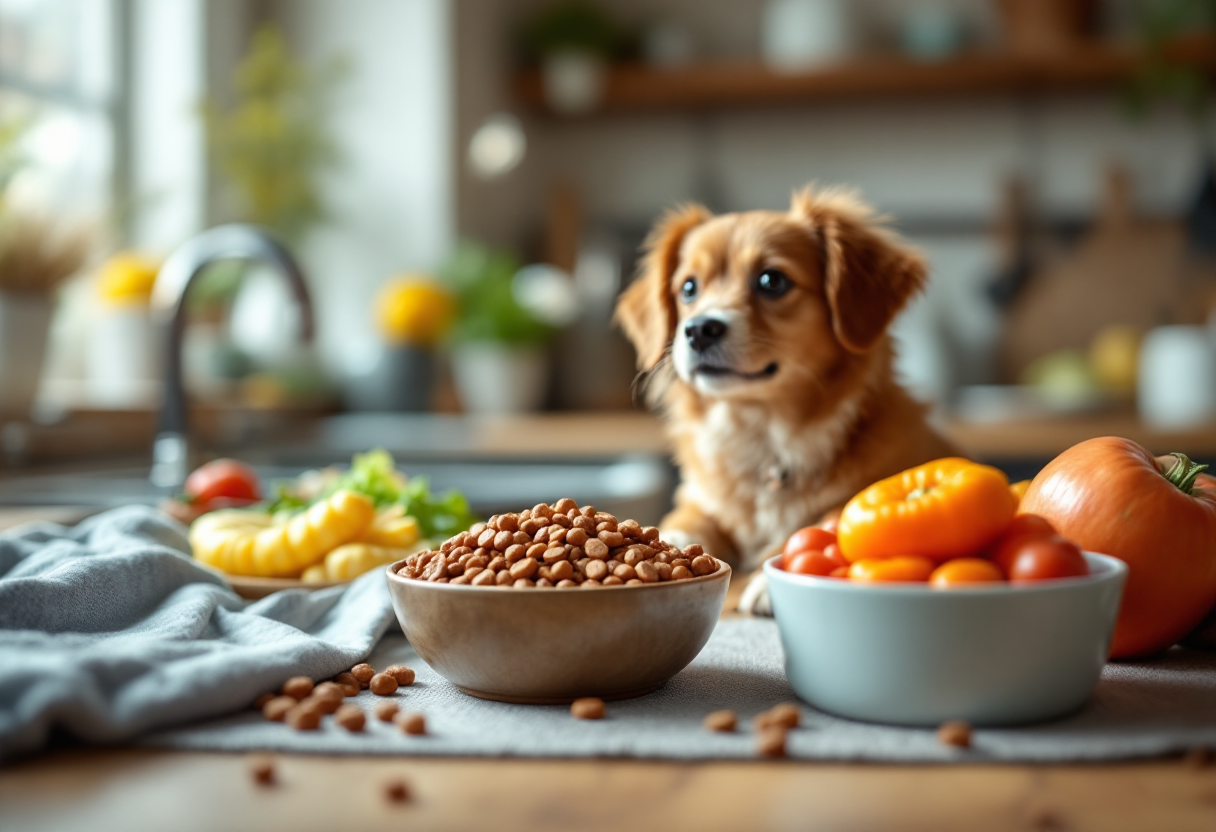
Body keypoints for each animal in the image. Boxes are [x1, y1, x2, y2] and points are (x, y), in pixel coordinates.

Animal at [617, 183, 958, 610]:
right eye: (688, 288)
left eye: (771, 281)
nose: (697, 330)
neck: (764, 433)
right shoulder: (695, 498)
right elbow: (683, 520)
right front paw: (663, 544)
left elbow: (826, 516)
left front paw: (767, 580)